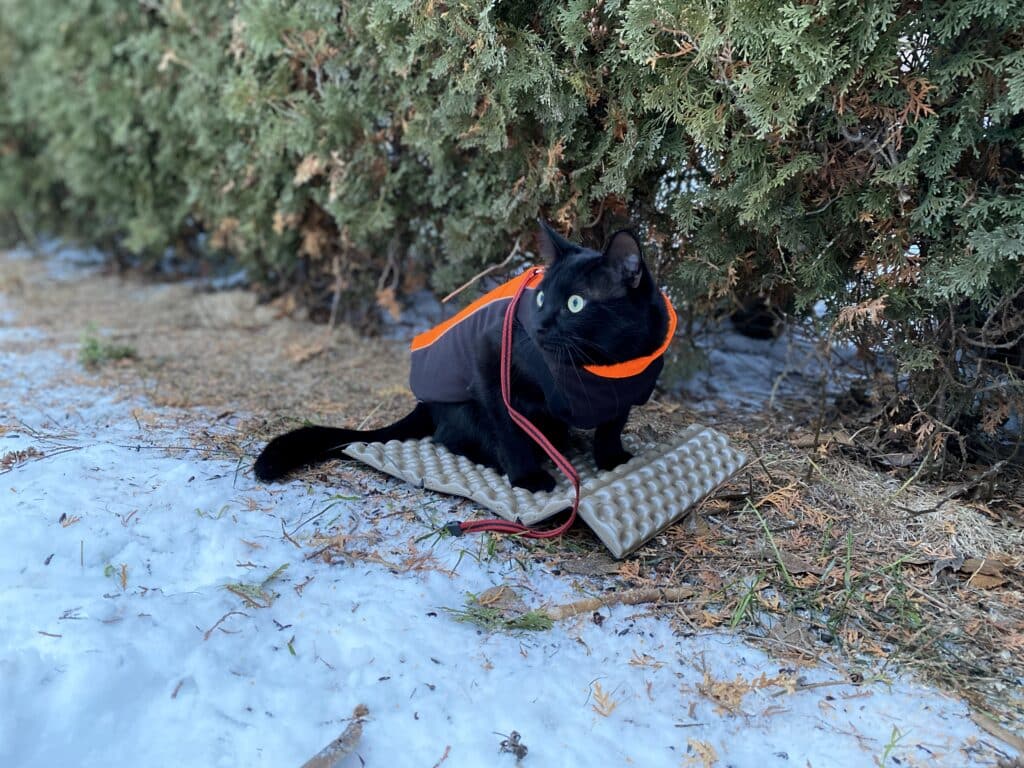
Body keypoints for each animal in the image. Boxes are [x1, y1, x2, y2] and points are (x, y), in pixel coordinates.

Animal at [252, 222, 675, 493]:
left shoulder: (627, 389)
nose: (537, 325)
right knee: (456, 438)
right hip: (466, 409)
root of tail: (425, 404)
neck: (604, 364)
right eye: (540, 297)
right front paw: (527, 478)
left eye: (575, 303)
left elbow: (611, 425)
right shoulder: (490, 360)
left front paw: (611, 458)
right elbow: (508, 431)